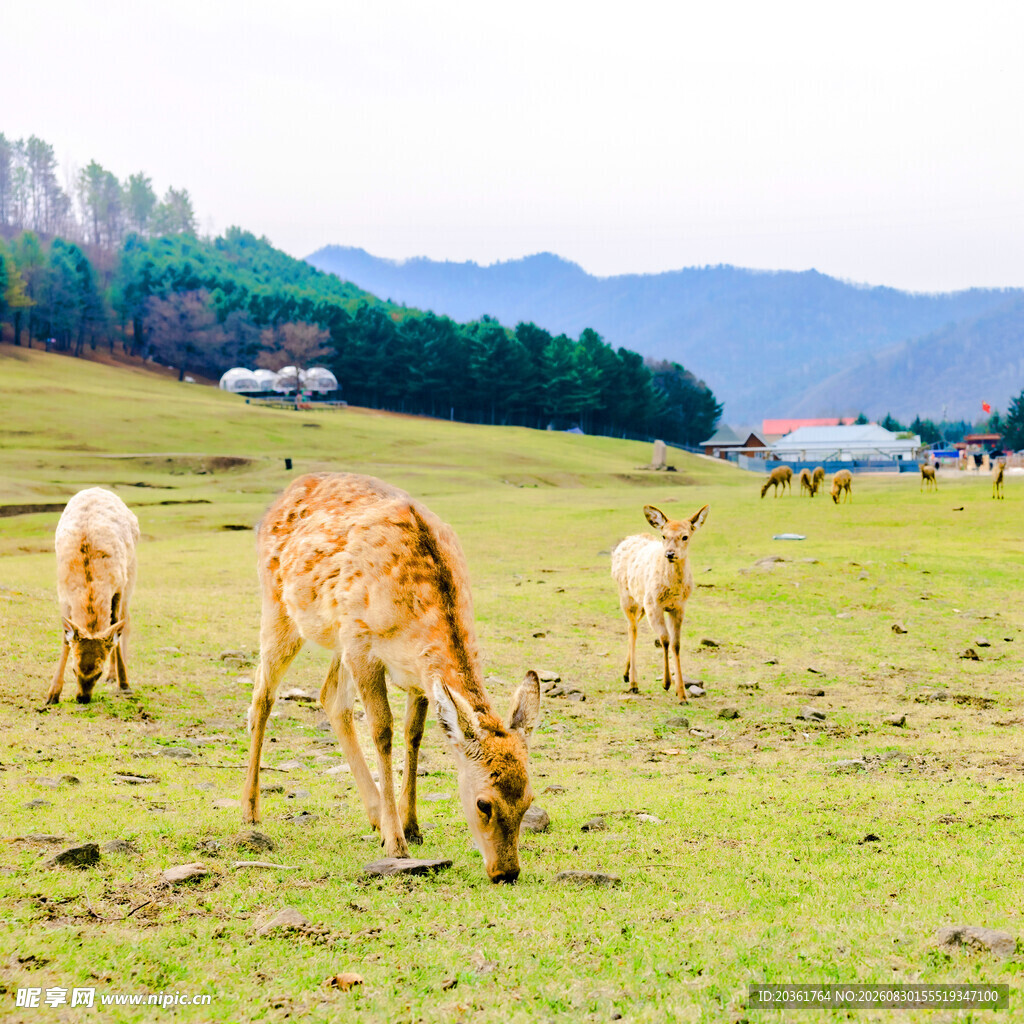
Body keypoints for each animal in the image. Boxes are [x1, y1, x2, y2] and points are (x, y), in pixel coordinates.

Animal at [46, 488, 138, 705]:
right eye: (74, 669)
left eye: (98, 672)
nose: (82, 698)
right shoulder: (62, 593)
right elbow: (65, 638)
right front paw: (52, 694)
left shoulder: (118, 586)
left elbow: (115, 627)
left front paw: (125, 684)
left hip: (131, 574)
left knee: (126, 621)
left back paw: (115, 676)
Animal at [242, 473, 541, 884]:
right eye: (484, 804)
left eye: (529, 800)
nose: (506, 872)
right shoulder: (364, 647)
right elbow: (383, 731)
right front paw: (396, 843)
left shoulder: (417, 672)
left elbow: (413, 734)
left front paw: (409, 824)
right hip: (279, 607)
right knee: (262, 695)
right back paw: (250, 811)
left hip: (337, 636)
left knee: (330, 697)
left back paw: (373, 814)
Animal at [611, 503, 709, 703]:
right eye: (664, 535)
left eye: (685, 536)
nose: (670, 554)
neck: (673, 590)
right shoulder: (654, 605)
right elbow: (665, 639)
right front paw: (666, 683)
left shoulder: (679, 607)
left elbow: (676, 644)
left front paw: (682, 695)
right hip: (627, 596)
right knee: (632, 629)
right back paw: (634, 683)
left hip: (641, 602)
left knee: (633, 626)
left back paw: (626, 674)